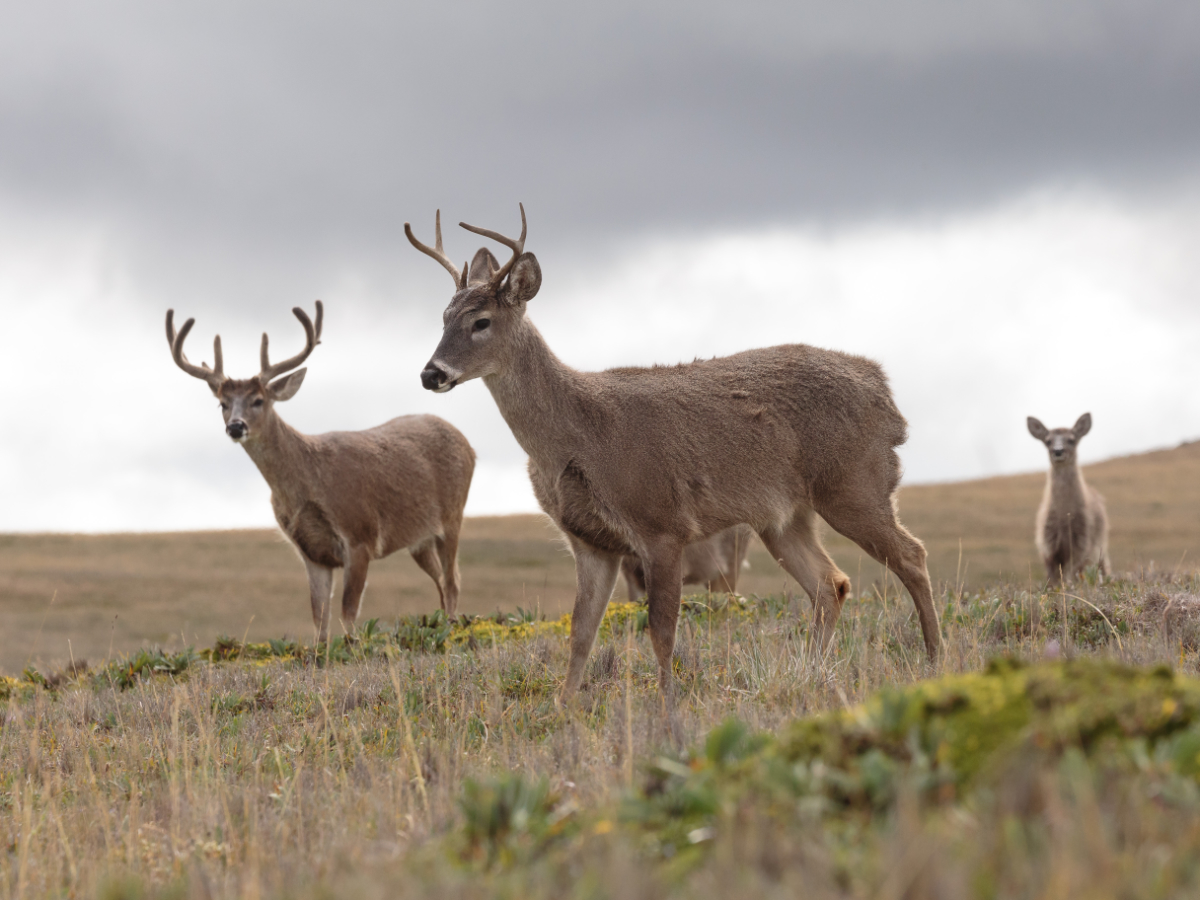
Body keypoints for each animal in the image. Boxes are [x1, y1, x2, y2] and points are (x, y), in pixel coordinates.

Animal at [165, 301, 476, 641]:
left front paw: (353, 647)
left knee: (453, 580)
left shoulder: (360, 535)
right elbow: (319, 619)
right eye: (222, 403)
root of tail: (467, 443)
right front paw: (322, 651)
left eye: (259, 400)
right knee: (441, 581)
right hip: (419, 539)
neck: (309, 483)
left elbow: (348, 614)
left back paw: (452, 631)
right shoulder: (311, 552)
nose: (236, 426)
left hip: (453, 516)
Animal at [1027, 413, 1110, 586]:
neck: (1064, 519)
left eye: (1071, 439)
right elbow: (1052, 577)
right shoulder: (1047, 543)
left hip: (1101, 543)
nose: (1058, 451)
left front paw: (1068, 588)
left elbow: (1069, 574)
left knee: (1103, 566)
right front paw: (1052, 589)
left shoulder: (1082, 542)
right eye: (1048, 441)